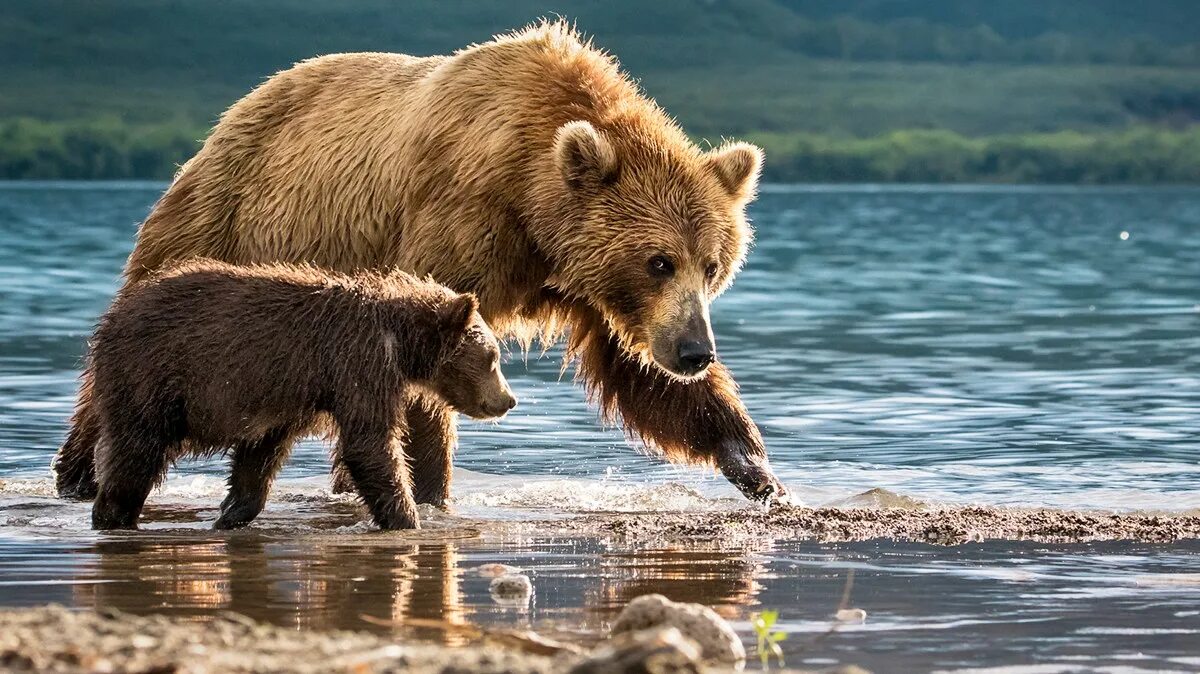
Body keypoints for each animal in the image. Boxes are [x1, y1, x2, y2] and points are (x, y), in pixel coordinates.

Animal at [87, 260, 513, 527]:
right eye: (493, 357)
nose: (508, 400)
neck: (401, 340)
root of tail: (110, 317)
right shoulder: (358, 363)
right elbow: (370, 443)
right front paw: (407, 518)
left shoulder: (291, 397)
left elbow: (260, 455)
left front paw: (232, 512)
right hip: (149, 377)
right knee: (135, 453)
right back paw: (114, 514)